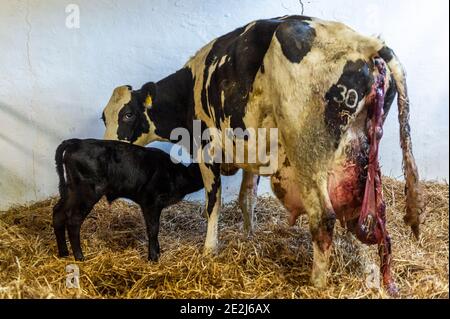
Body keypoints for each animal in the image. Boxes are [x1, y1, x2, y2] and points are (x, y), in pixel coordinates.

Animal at [51, 139, 204, 262]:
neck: (177, 174)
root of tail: (76, 142)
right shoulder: (151, 202)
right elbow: (153, 229)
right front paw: (153, 257)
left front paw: (158, 252)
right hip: (88, 191)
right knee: (73, 220)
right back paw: (79, 257)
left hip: (72, 190)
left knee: (58, 213)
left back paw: (64, 253)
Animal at [101, 15, 422, 296]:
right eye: (104, 117)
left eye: (128, 114)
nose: (107, 149)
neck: (190, 90)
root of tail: (365, 43)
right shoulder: (250, 152)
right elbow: (247, 198)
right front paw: (249, 236)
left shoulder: (207, 151)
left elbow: (213, 203)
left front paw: (209, 248)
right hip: (362, 158)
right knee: (376, 221)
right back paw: (379, 278)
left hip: (308, 155)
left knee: (324, 217)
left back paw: (317, 283)